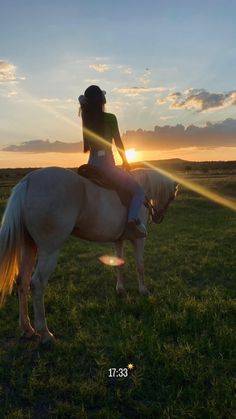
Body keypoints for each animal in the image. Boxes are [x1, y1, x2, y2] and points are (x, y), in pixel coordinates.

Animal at [0, 166, 177, 342]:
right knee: (37, 284)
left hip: (29, 246)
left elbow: (120, 265)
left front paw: (120, 289)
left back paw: (27, 328)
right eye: (172, 196)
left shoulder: (118, 240)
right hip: (50, 250)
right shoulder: (139, 240)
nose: (158, 217)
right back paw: (45, 333)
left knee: (22, 281)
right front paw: (143, 291)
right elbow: (140, 266)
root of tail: (29, 181)